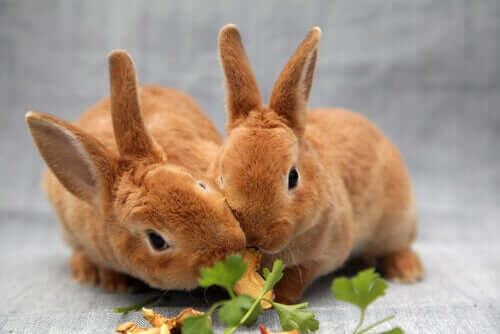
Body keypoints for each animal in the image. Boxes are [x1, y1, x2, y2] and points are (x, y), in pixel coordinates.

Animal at [209, 24, 424, 304]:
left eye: (293, 177)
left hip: (397, 223)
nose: (254, 236)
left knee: (399, 246)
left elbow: (296, 276)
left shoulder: (323, 256)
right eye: (221, 178)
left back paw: (406, 271)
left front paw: (280, 298)